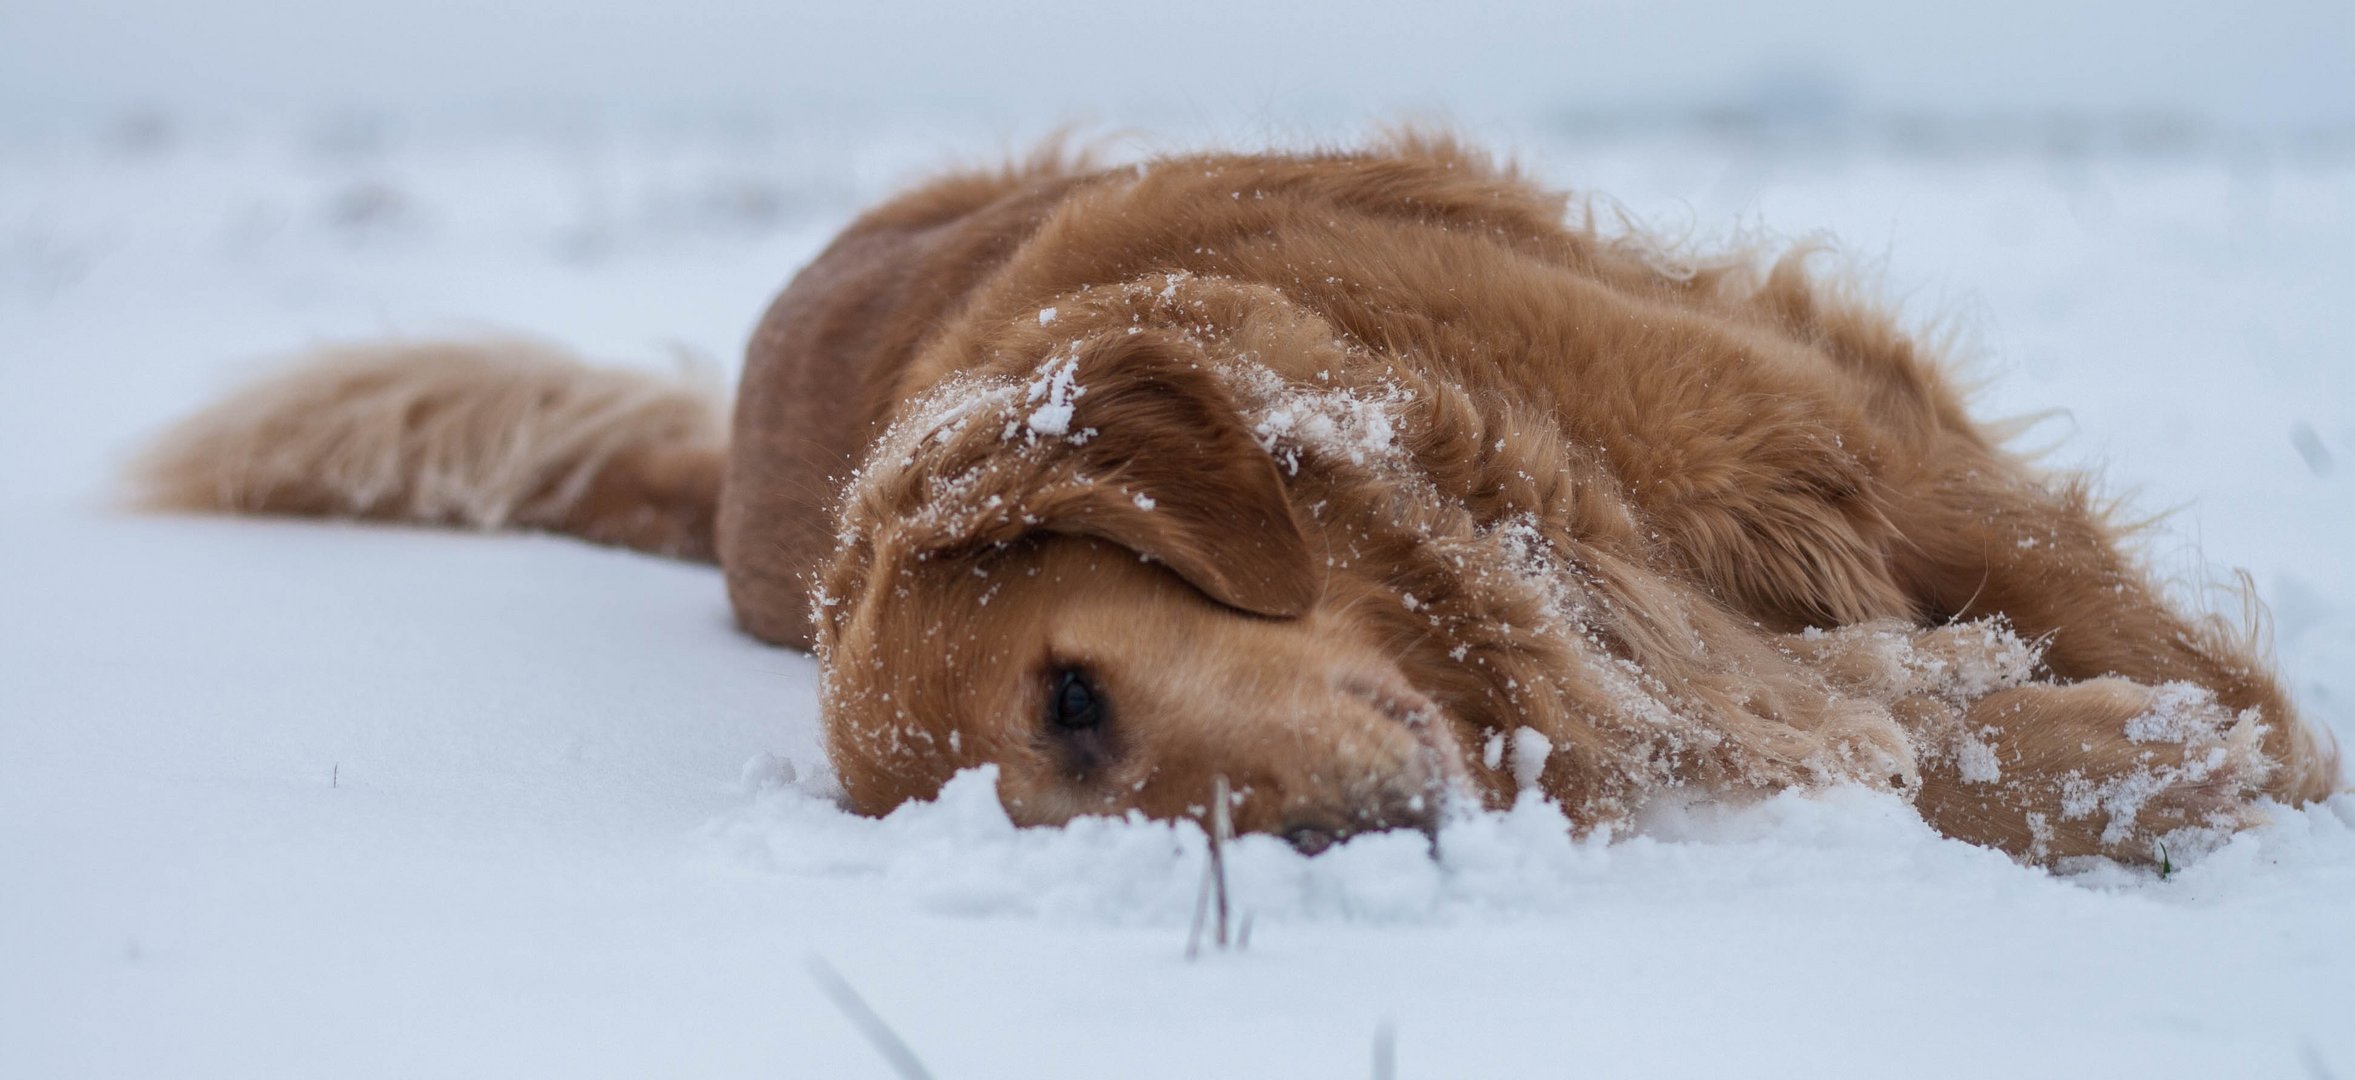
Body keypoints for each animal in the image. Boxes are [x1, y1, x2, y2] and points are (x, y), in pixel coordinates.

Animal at [137, 135, 2345, 865]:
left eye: (1071, 699)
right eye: (1067, 790)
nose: (1337, 852)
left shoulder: (1843, 446)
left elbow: (2116, 630)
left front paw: (2246, 762)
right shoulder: (1695, 656)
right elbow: (1926, 749)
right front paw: (2138, 769)